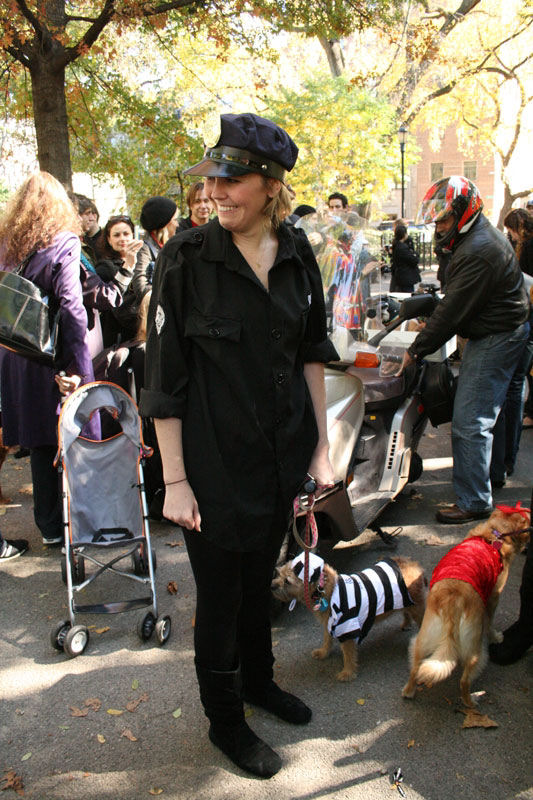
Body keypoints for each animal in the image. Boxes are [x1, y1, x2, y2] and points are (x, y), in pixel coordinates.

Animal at [404, 506, 528, 708]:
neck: (496, 534)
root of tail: (452, 601)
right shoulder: (494, 596)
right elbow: (490, 622)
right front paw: (496, 636)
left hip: (422, 639)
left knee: (415, 668)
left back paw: (409, 691)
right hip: (475, 648)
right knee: (464, 681)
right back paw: (471, 701)